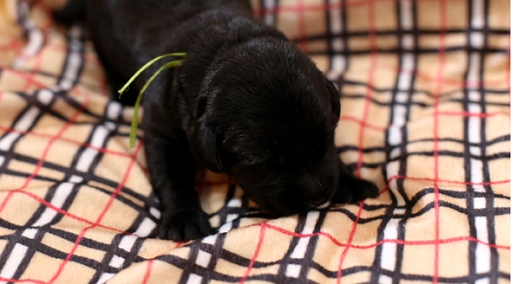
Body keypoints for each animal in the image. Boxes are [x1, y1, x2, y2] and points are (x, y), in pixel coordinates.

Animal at [55, 0, 378, 242]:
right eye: (266, 164)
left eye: (325, 142)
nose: (316, 195)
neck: (225, 43)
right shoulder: (163, 129)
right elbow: (172, 176)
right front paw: (184, 218)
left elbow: (333, 158)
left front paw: (350, 180)